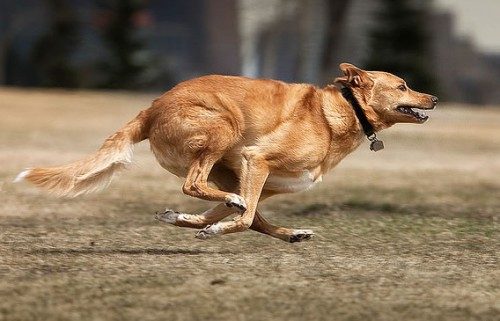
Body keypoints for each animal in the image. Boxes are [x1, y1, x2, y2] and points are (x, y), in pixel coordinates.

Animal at [14, 62, 438, 241]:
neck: (342, 111)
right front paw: (215, 228)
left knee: (227, 201)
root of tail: (151, 108)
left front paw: (194, 222)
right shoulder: (256, 160)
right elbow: (244, 217)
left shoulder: (259, 179)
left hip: (226, 168)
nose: (433, 99)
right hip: (224, 128)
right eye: (402, 86)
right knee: (195, 186)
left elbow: (242, 215)